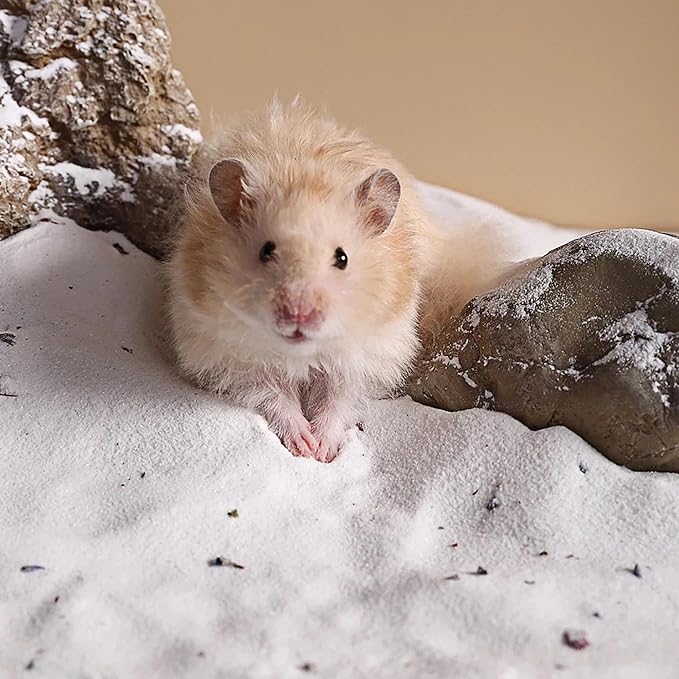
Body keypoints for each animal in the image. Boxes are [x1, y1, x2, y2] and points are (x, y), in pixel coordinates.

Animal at [165, 99, 507, 462]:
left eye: (342, 258)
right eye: (266, 251)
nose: (298, 317)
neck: (301, 354)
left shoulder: (367, 354)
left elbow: (337, 401)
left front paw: (323, 451)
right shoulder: (232, 356)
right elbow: (274, 396)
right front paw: (304, 445)